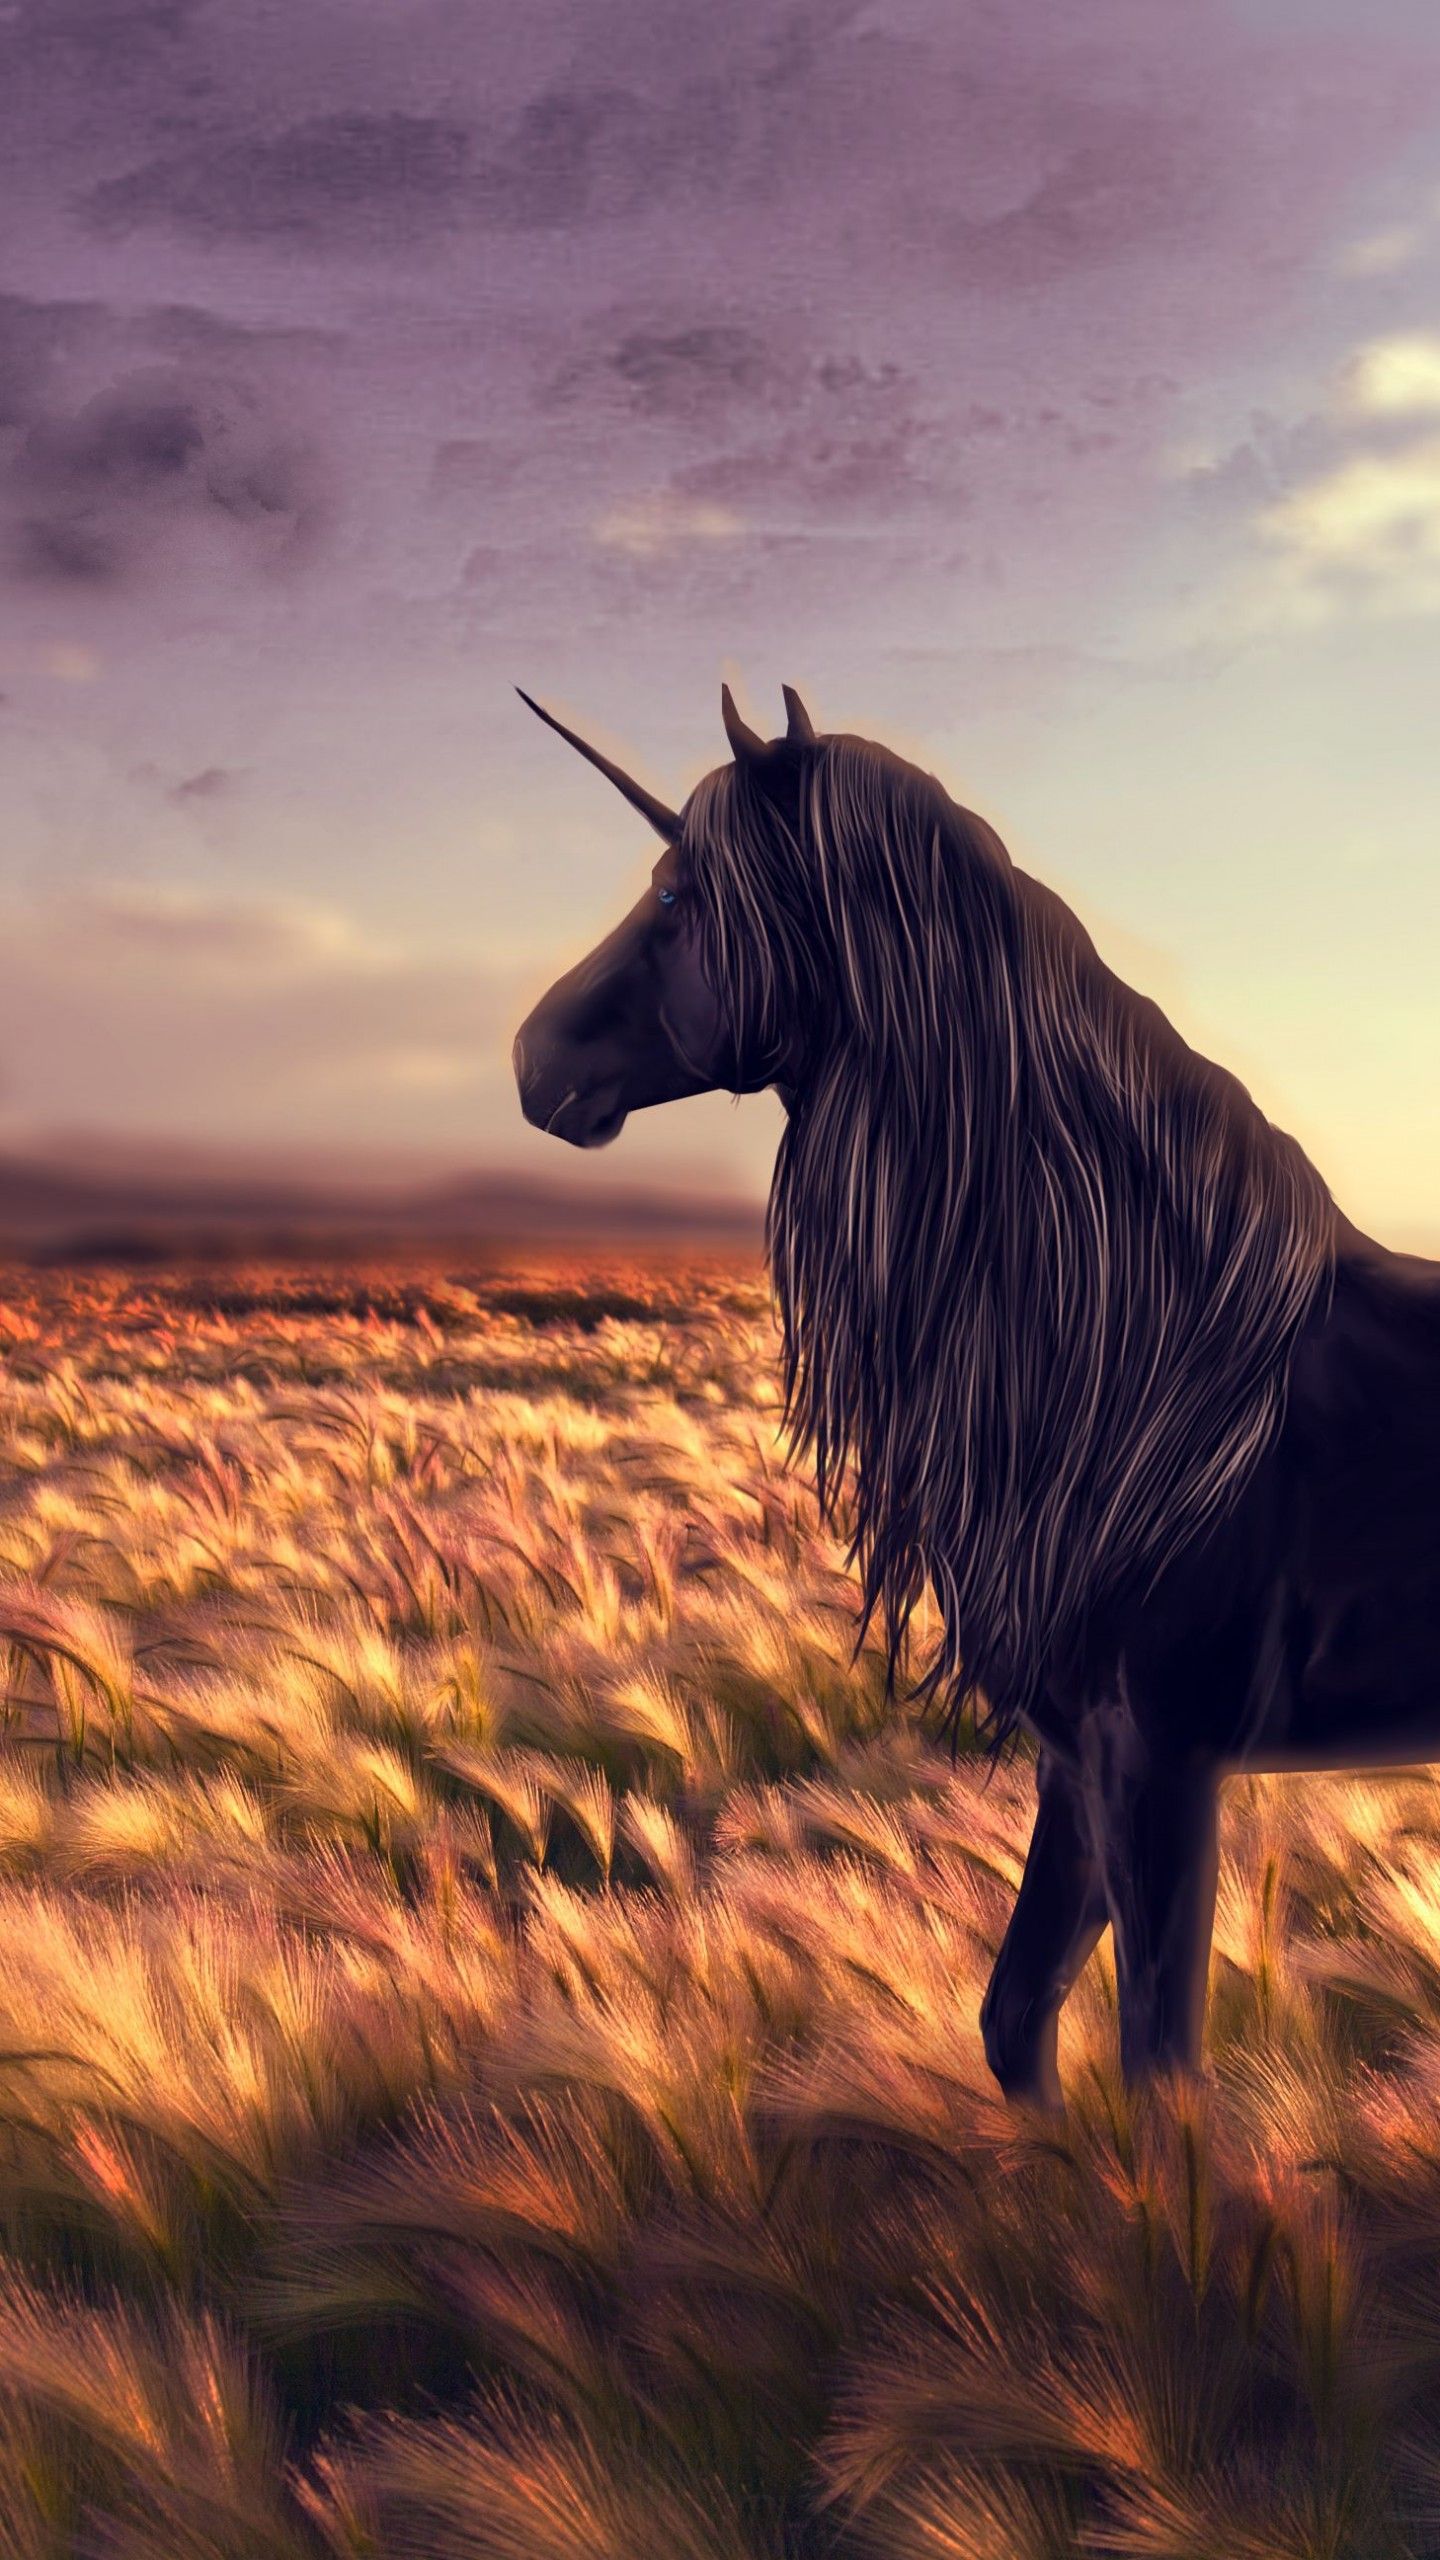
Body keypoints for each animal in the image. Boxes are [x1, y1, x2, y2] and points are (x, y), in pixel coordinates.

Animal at [512, 681, 1440, 2108]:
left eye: (677, 894)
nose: (529, 1058)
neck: (1156, 1374)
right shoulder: (1079, 1756)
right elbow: (1017, 2022)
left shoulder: (1166, 1757)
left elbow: (1159, 2068)